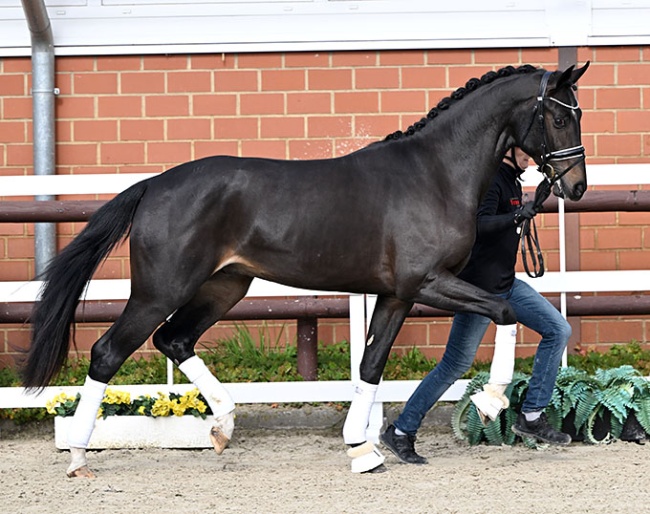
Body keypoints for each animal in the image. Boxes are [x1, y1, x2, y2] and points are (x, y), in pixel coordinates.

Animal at [21, 62, 589, 477]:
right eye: (561, 118)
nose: (576, 185)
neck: (434, 173)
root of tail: (153, 185)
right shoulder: (426, 283)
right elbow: (502, 311)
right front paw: (492, 403)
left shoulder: (397, 295)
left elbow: (371, 365)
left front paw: (364, 450)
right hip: (160, 290)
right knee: (108, 352)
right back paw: (78, 456)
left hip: (225, 285)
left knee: (174, 339)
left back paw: (223, 426)